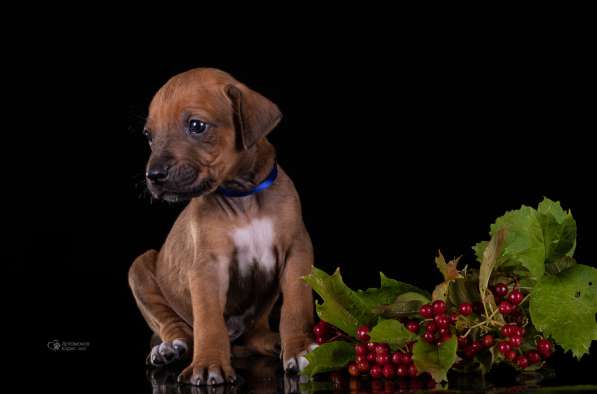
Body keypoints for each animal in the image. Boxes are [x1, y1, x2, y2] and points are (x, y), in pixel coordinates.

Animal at [129, 67, 316, 384]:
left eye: (196, 125)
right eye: (148, 136)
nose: (153, 175)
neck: (243, 197)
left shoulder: (297, 252)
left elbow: (296, 306)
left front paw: (300, 348)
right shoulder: (207, 267)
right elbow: (208, 320)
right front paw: (208, 363)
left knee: (256, 336)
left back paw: (274, 341)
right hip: (140, 267)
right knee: (177, 327)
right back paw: (169, 348)